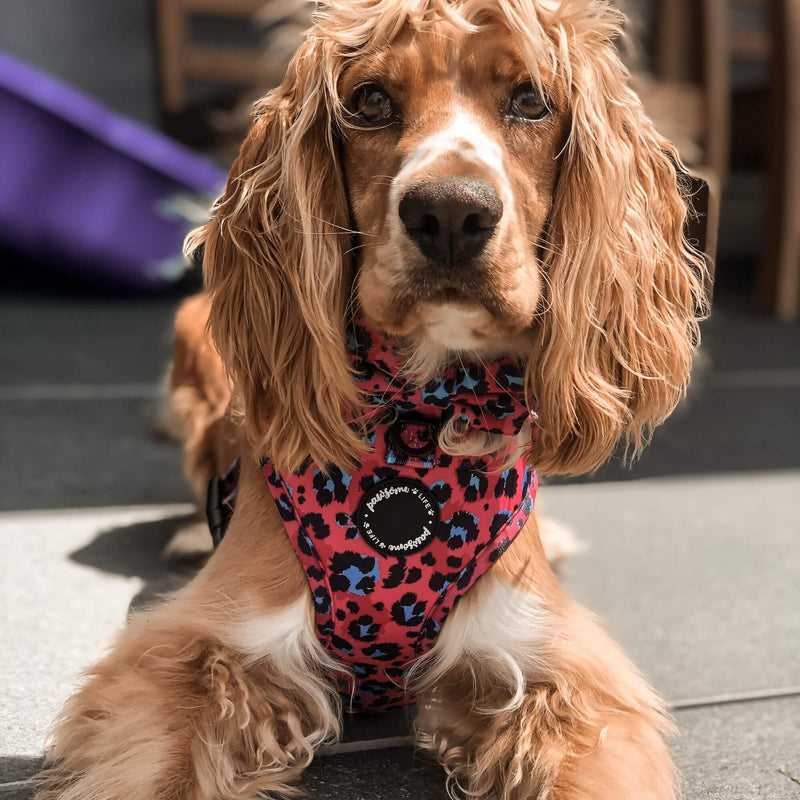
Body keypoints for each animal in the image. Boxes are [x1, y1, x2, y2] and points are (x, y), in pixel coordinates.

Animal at [42, 1, 708, 800]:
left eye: (530, 100)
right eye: (369, 102)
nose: (449, 214)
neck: (419, 418)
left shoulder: (557, 666)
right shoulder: (197, 650)